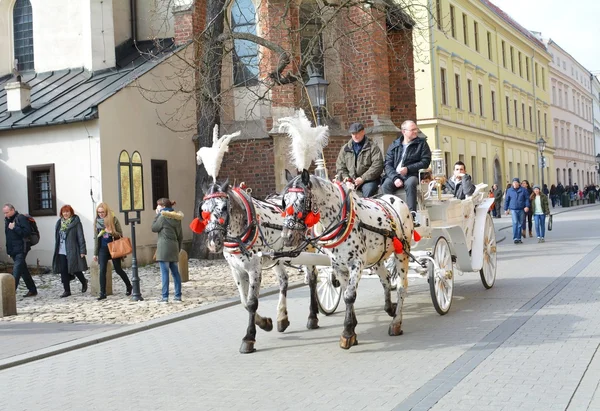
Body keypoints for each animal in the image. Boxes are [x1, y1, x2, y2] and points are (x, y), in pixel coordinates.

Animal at [192, 181, 324, 354]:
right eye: (203, 211)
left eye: (224, 207)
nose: (214, 242)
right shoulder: (237, 271)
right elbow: (244, 302)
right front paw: (265, 323)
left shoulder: (254, 269)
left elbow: (252, 303)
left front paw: (249, 338)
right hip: (277, 258)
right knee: (284, 281)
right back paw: (282, 317)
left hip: (308, 250)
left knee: (312, 279)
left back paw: (312, 316)